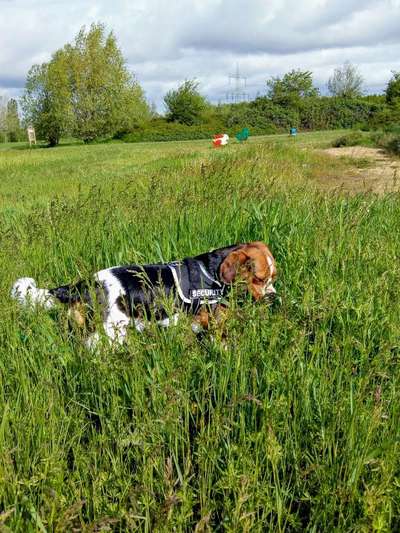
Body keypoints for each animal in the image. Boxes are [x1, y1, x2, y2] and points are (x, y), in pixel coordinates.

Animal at [10, 240, 276, 348]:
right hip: (108, 335)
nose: (273, 297)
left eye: (274, 278)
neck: (212, 272)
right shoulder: (212, 324)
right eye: (260, 279)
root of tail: (84, 284)